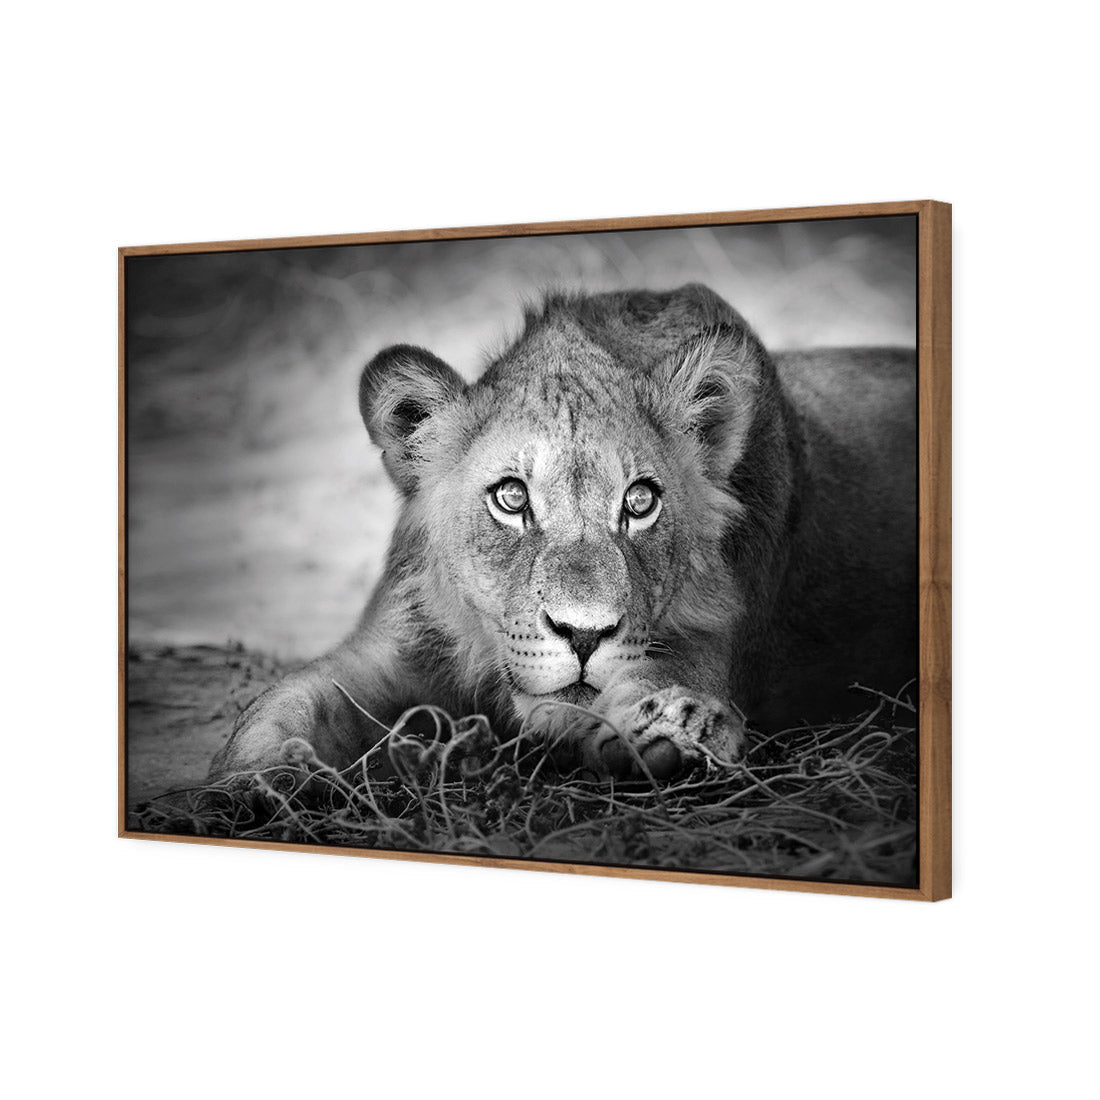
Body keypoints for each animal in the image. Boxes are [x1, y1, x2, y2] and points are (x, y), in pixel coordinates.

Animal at [210, 283, 916, 783]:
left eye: (640, 502)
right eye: (511, 497)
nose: (583, 635)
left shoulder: (713, 645)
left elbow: (646, 687)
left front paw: (674, 730)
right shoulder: (391, 648)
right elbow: (280, 705)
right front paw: (248, 786)